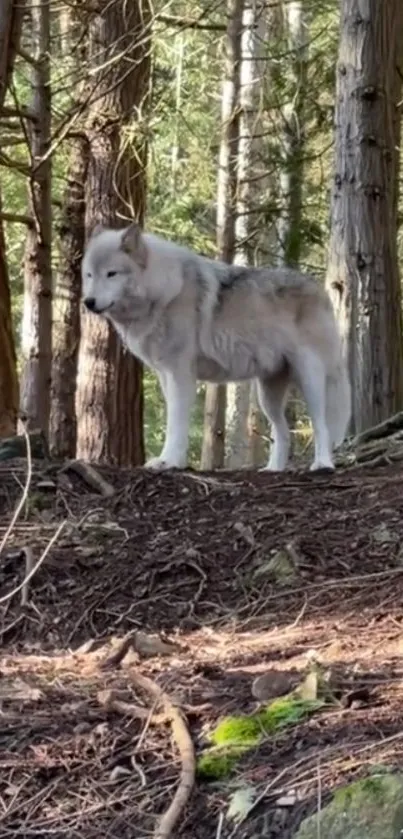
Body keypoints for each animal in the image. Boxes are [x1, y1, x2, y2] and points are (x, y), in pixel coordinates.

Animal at [81, 223, 350, 472]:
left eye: (111, 274)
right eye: (89, 275)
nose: (88, 302)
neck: (163, 290)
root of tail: (320, 289)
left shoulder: (181, 374)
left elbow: (176, 423)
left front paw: (170, 462)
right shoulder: (165, 375)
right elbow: (173, 420)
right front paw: (171, 461)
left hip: (310, 380)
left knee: (321, 424)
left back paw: (323, 464)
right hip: (267, 396)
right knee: (282, 432)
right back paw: (273, 469)